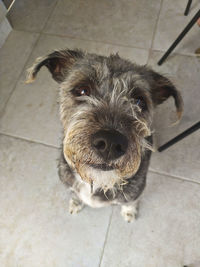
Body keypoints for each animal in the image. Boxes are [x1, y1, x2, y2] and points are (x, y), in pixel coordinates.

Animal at [26, 49, 183, 223]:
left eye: (139, 101)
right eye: (82, 90)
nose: (110, 143)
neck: (98, 182)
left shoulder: (135, 193)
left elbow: (130, 202)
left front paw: (129, 212)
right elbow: (75, 194)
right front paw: (76, 203)